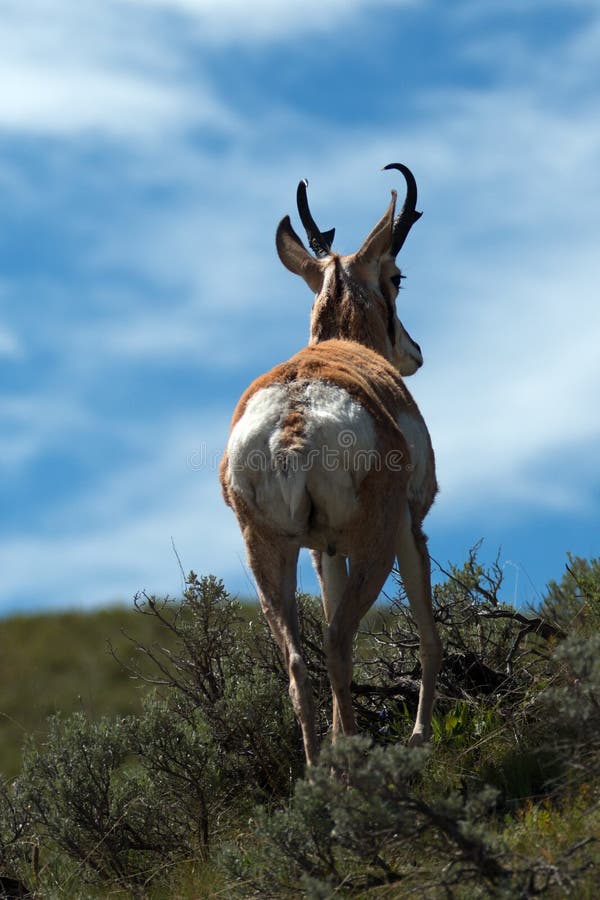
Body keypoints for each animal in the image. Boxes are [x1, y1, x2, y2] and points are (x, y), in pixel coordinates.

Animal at [220, 163, 440, 768]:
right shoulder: (411, 526)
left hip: (270, 550)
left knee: (298, 662)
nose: (414, 353)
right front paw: (420, 736)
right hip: (375, 542)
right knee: (340, 641)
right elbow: (427, 629)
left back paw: (320, 771)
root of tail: (295, 419)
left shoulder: (324, 551)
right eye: (397, 276)